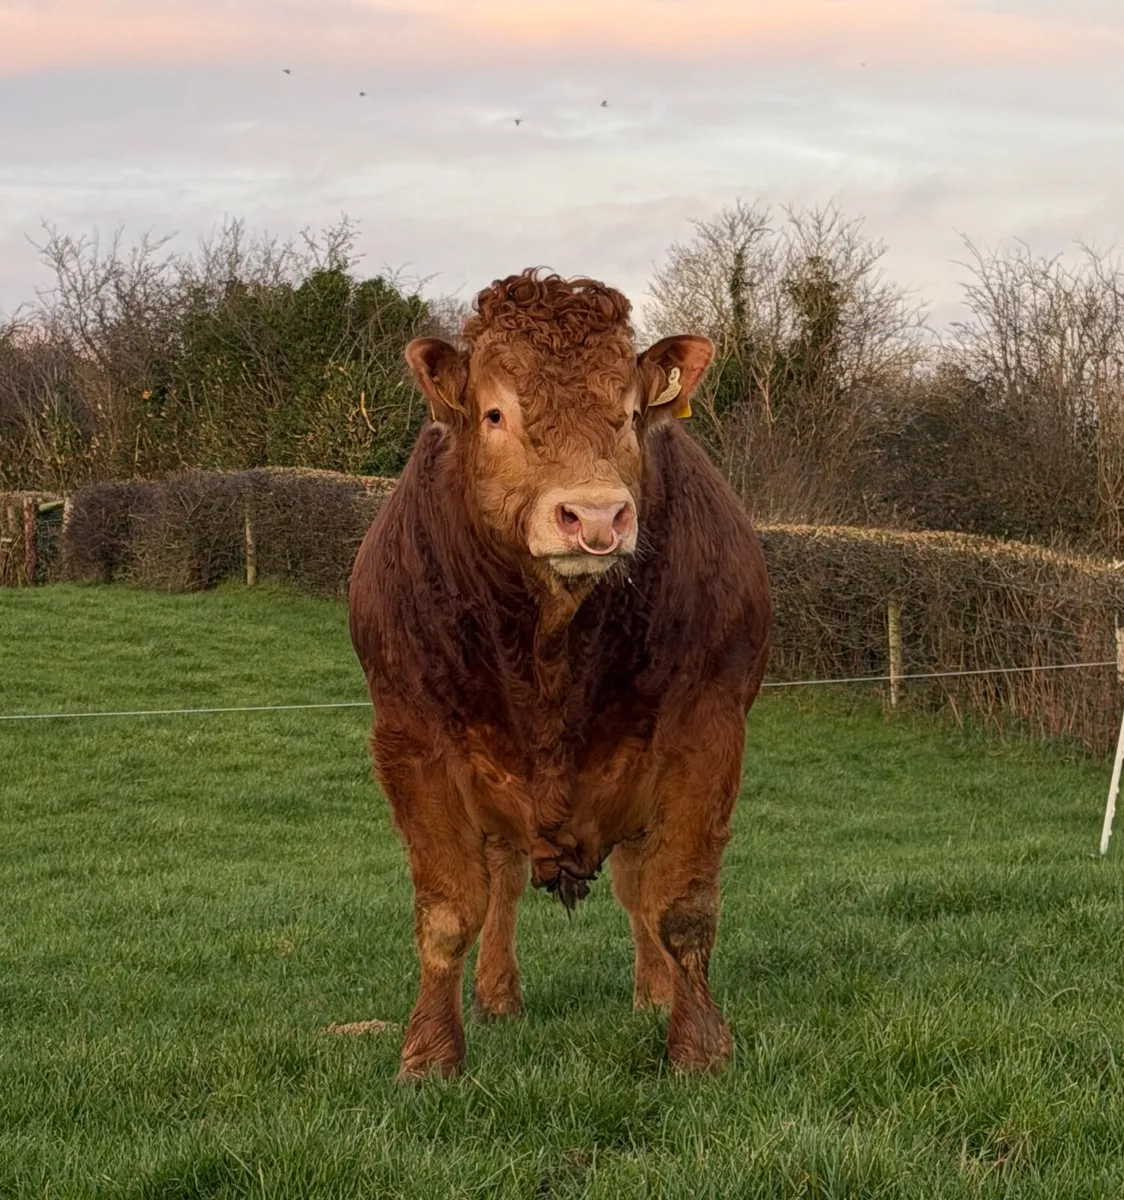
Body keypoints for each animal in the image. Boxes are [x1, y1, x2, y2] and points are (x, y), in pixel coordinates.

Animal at [348, 268, 772, 1080]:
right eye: (494, 413)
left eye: (632, 414)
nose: (596, 515)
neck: (550, 648)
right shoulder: (410, 735)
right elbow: (450, 910)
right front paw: (429, 1055)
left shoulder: (707, 725)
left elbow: (681, 905)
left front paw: (699, 1047)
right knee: (504, 885)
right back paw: (497, 998)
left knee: (637, 885)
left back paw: (654, 995)